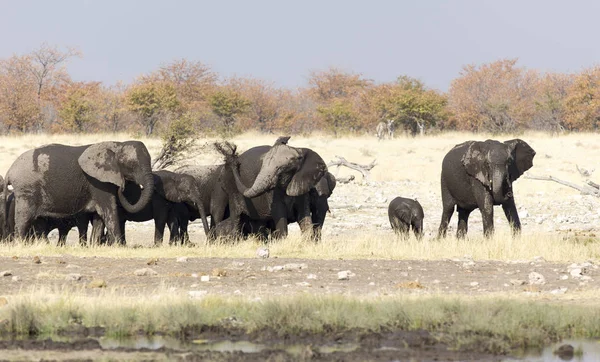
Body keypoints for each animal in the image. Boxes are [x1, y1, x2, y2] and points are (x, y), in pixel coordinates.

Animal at [4, 140, 155, 245]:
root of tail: (9, 171)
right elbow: (109, 211)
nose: (122, 187)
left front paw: (94, 246)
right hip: (26, 190)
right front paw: (119, 246)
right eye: (132, 165)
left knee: (38, 221)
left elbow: (99, 217)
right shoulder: (97, 182)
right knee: (24, 218)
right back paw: (21, 245)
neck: (117, 144)